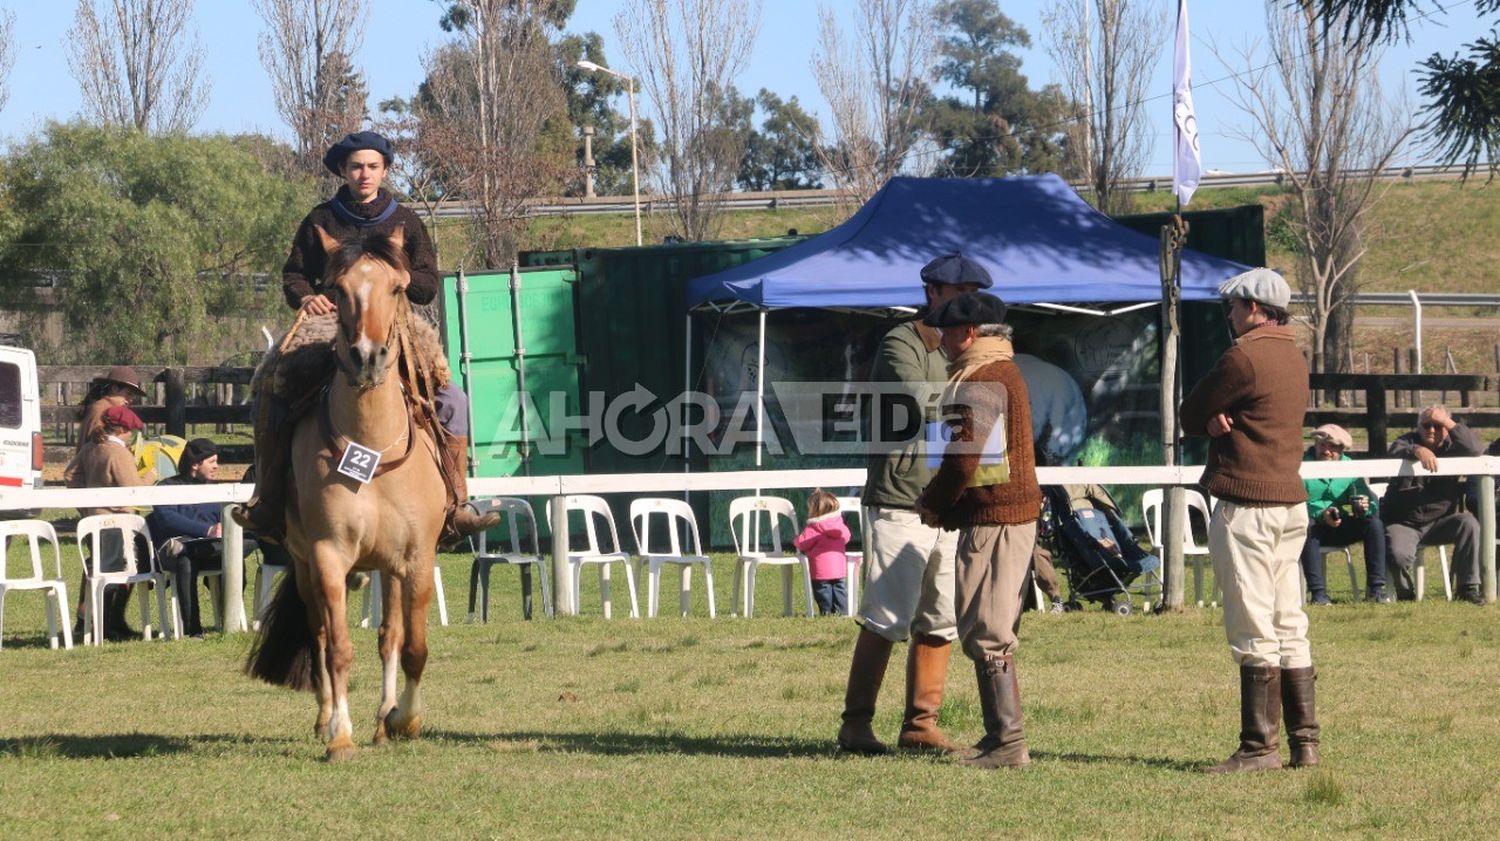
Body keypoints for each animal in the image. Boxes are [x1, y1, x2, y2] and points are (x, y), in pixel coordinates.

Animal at [243, 224, 444, 761]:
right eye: (336, 290)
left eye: (396, 288)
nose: (368, 357)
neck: (370, 447)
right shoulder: (328, 555)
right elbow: (337, 648)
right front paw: (341, 735)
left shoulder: (417, 558)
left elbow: (411, 646)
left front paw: (403, 720)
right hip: (306, 565)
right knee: (317, 635)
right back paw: (327, 718)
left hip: (387, 569)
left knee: (390, 635)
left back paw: (384, 718)